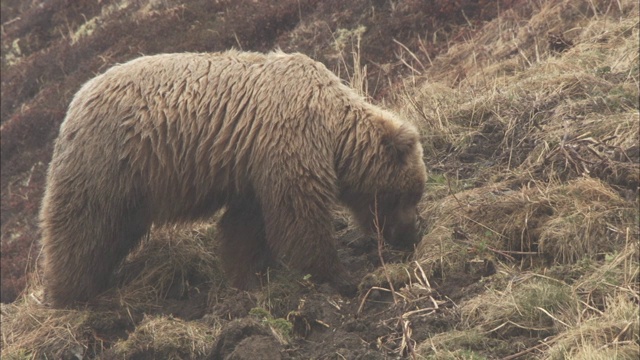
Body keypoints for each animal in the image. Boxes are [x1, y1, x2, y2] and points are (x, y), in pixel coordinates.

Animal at [41, 50, 430, 306]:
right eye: (410, 194)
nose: (412, 234)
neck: (334, 129)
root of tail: (74, 104)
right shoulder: (291, 136)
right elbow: (299, 211)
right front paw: (339, 275)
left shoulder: (253, 164)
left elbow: (246, 225)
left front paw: (248, 277)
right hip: (110, 162)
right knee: (84, 227)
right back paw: (71, 294)